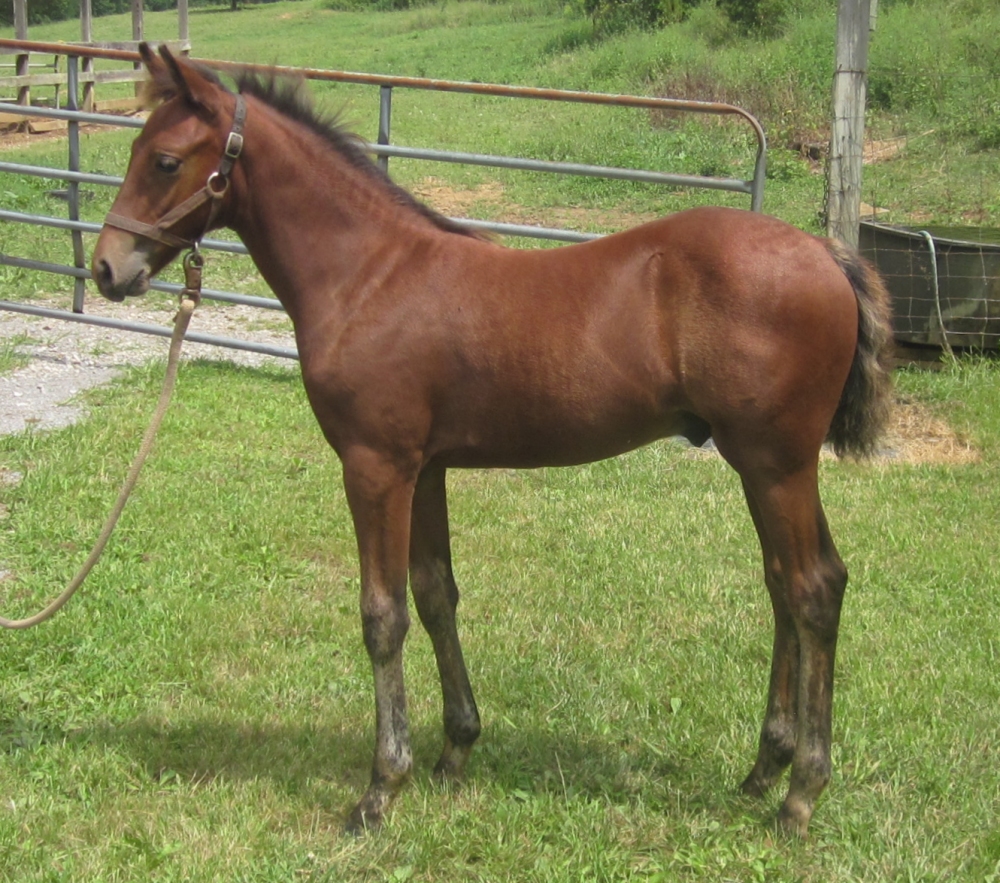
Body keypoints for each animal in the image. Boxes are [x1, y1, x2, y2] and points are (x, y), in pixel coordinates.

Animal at [91, 44, 894, 837]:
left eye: (164, 160)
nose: (106, 267)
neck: (369, 276)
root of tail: (827, 255)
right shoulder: (426, 469)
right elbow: (435, 593)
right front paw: (455, 750)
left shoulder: (375, 467)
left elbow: (382, 615)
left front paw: (380, 788)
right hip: (766, 466)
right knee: (790, 584)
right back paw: (764, 770)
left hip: (775, 463)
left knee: (811, 589)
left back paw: (801, 792)